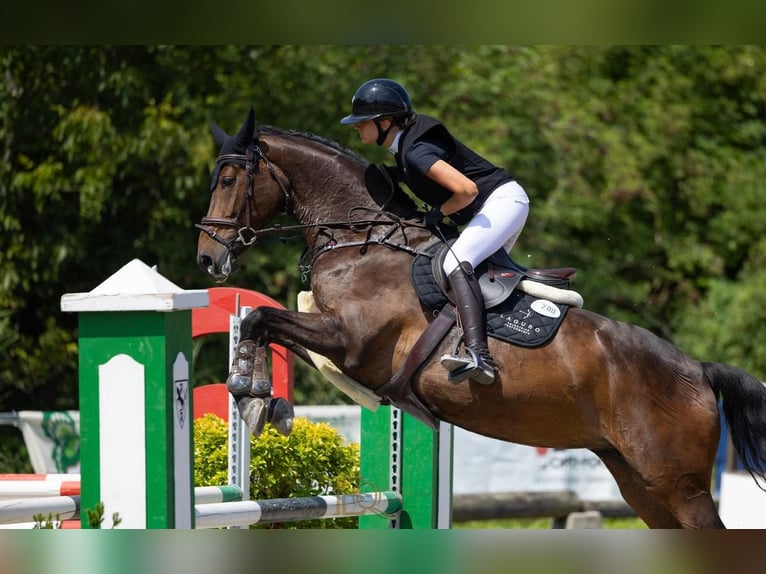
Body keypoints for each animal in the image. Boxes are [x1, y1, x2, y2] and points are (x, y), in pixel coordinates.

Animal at [198, 108, 766, 532]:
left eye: (227, 178)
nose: (208, 259)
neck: (362, 238)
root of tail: (697, 370)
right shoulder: (335, 338)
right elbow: (271, 319)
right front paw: (259, 397)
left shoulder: (351, 341)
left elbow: (262, 318)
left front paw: (251, 396)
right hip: (638, 481)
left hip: (679, 485)